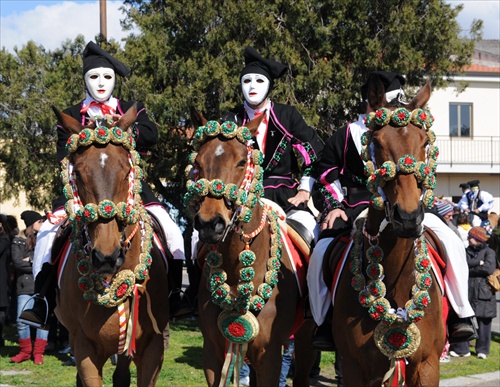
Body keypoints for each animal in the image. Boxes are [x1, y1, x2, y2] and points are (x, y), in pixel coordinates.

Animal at [188, 112, 316, 387]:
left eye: (240, 162)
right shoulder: (212, 354)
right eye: (198, 164)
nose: (209, 224)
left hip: (304, 337)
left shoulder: (270, 356)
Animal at [328, 79, 446, 387]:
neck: (394, 281)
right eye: (378, 143)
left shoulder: (427, 365)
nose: (408, 217)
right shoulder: (356, 368)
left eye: (425, 142)